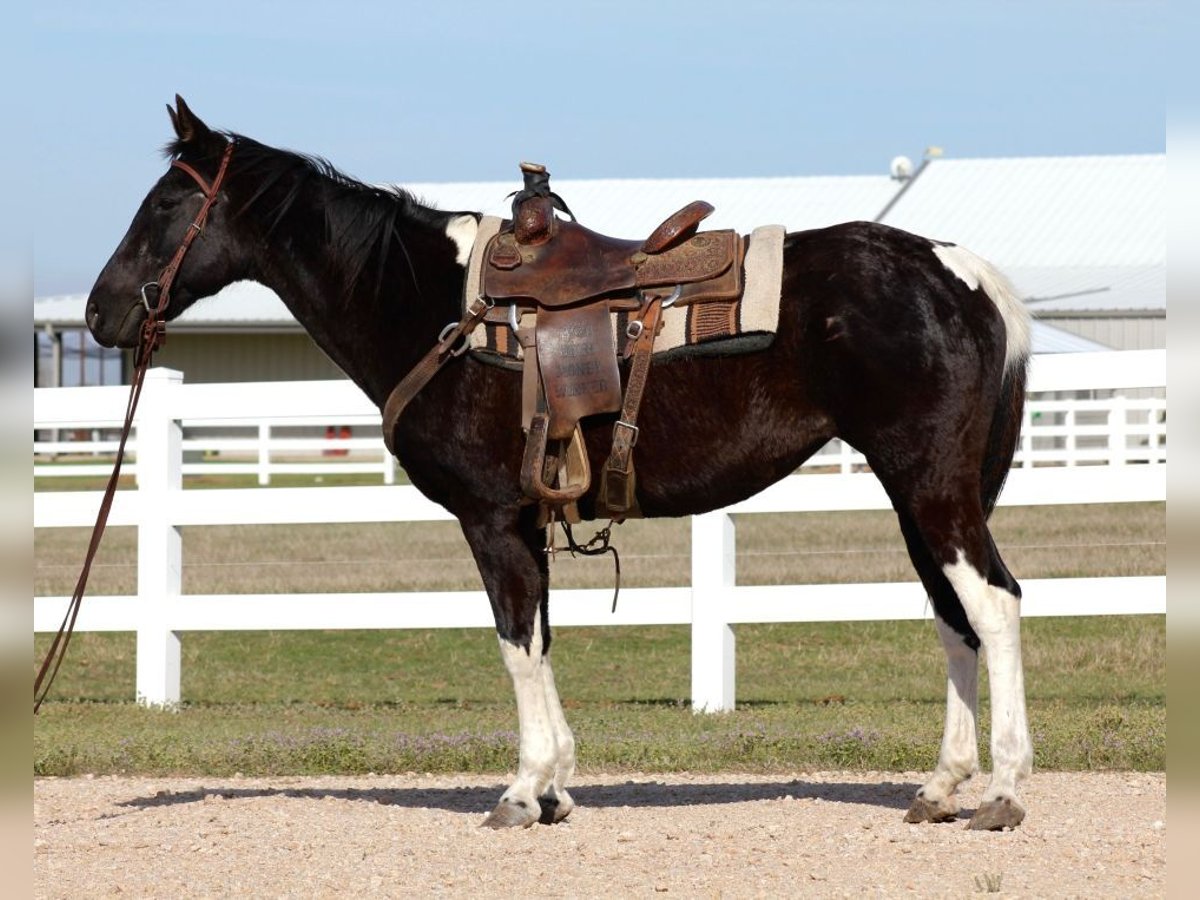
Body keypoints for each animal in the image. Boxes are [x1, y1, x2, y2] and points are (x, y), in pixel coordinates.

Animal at [86, 96, 1033, 831]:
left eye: (167, 205)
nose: (100, 314)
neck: (430, 305)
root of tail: (958, 268)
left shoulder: (491, 519)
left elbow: (515, 643)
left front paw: (522, 790)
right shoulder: (528, 520)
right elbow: (539, 639)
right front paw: (555, 791)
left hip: (931, 487)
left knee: (992, 605)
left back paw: (1003, 790)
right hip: (918, 495)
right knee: (953, 617)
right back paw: (940, 787)